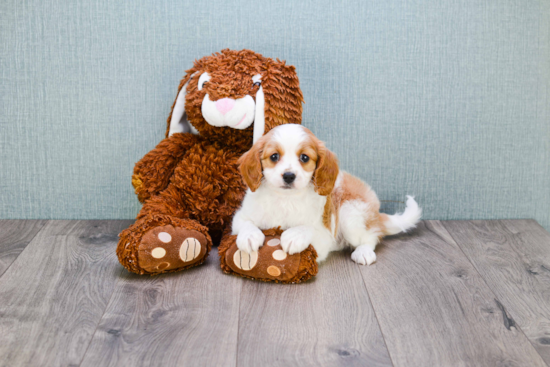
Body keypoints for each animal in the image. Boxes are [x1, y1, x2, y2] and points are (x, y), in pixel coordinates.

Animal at [231, 125, 420, 266]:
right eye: (274, 156)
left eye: (304, 158)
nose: (289, 176)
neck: (285, 199)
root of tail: (376, 215)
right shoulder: (241, 215)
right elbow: (245, 223)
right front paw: (249, 236)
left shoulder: (324, 236)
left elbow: (308, 228)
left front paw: (294, 235)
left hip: (351, 214)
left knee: (372, 236)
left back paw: (364, 251)